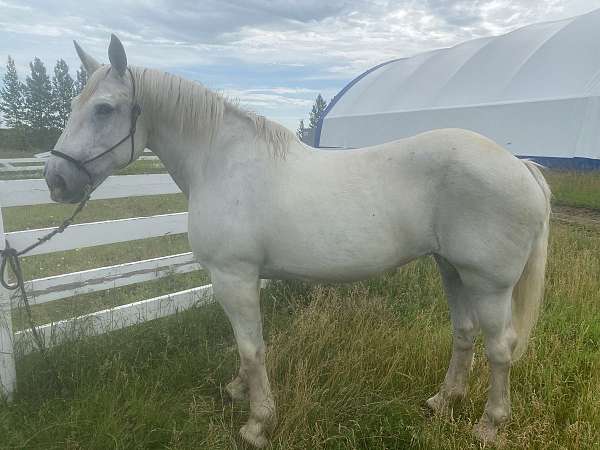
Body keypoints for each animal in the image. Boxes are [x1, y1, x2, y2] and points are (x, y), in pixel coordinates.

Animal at [44, 34, 552, 446]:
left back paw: (489, 424)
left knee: (500, 347)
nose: (56, 180)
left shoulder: (232, 276)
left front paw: (257, 423)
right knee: (464, 334)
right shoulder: (241, 279)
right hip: (452, 270)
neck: (221, 162)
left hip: (488, 283)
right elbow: (246, 346)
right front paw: (239, 392)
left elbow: (252, 349)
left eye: (104, 108)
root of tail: (518, 164)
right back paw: (443, 401)